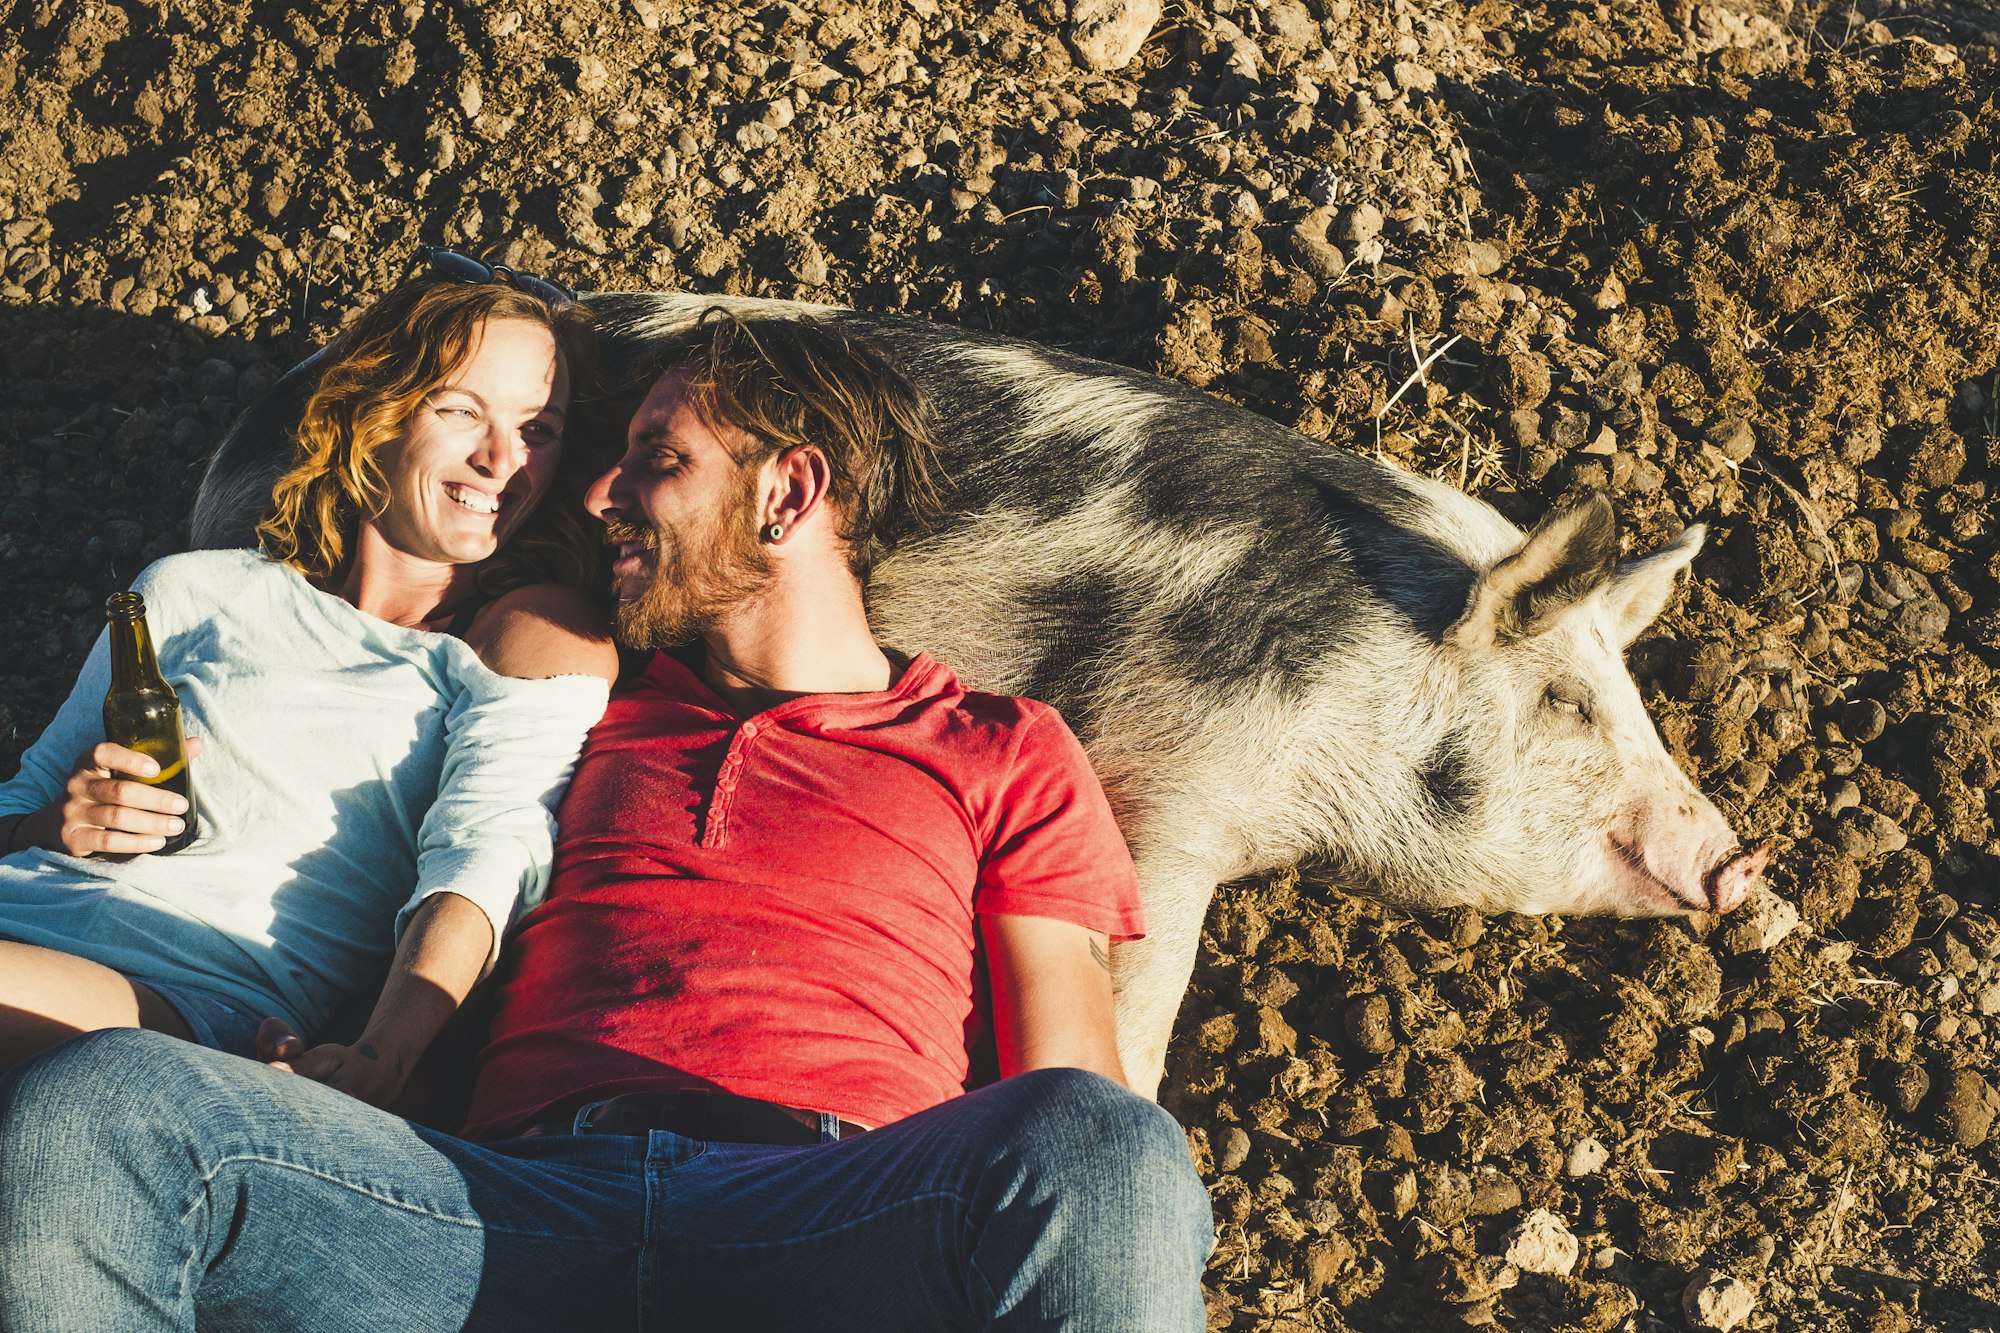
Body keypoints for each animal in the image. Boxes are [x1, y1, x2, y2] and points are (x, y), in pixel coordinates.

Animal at [191, 290, 1768, 1088]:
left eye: (1631, 697)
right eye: (1567, 705)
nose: (1739, 857)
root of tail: (266, 413)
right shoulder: (1164, 794)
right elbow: (1136, 990)